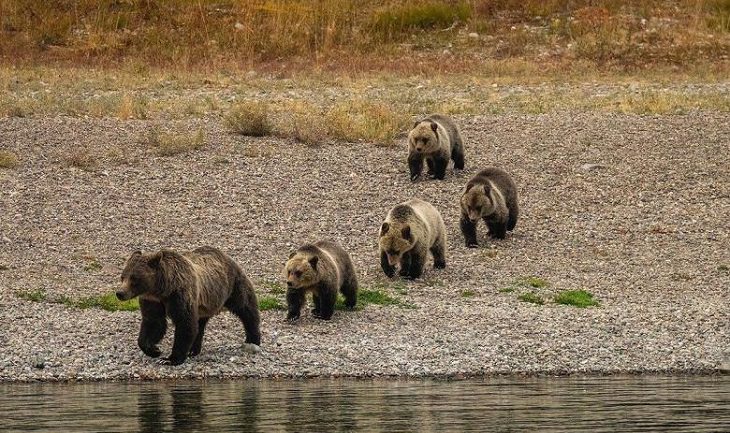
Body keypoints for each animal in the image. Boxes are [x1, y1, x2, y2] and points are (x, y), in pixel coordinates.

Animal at [116, 246, 258, 364]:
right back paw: (193, 350)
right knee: (200, 325)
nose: (120, 293)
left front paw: (170, 359)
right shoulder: (152, 301)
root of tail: (226, 256)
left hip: (233, 285)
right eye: (123, 276)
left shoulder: (180, 295)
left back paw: (253, 339)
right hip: (204, 304)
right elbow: (154, 323)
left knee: (246, 308)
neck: (162, 290)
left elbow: (185, 323)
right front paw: (154, 350)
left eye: (134, 278)